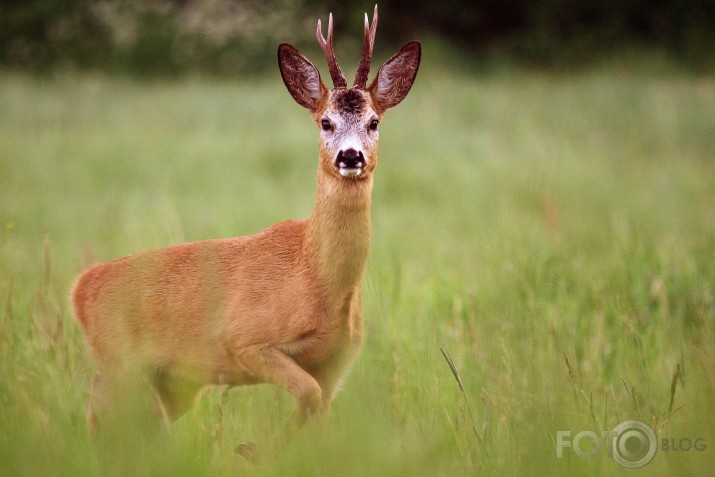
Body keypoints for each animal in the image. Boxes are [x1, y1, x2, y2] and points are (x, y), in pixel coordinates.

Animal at [71, 2, 420, 442]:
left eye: (374, 122)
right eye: (325, 121)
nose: (350, 156)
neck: (317, 280)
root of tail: (81, 288)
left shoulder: (338, 363)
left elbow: (321, 412)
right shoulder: (246, 341)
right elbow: (306, 393)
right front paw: (257, 446)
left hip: (170, 382)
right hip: (123, 362)